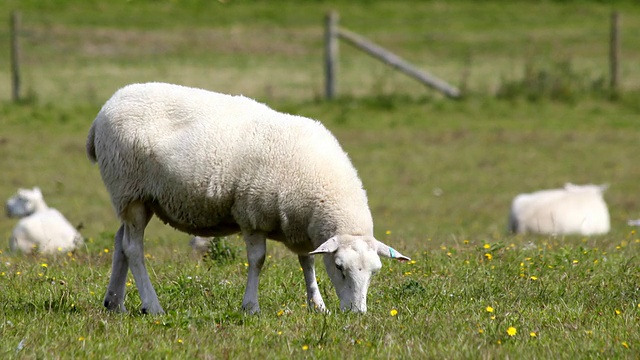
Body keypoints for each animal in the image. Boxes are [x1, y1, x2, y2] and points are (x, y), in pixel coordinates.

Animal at [85, 82, 410, 316]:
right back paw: (152, 306)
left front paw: (317, 305)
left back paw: (115, 303)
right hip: (130, 190)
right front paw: (251, 307)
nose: (357, 313)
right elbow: (258, 261)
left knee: (120, 243)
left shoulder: (300, 225)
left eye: (375, 272)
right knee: (133, 248)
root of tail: (104, 110)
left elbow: (307, 261)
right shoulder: (252, 214)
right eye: (340, 268)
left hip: (136, 198)